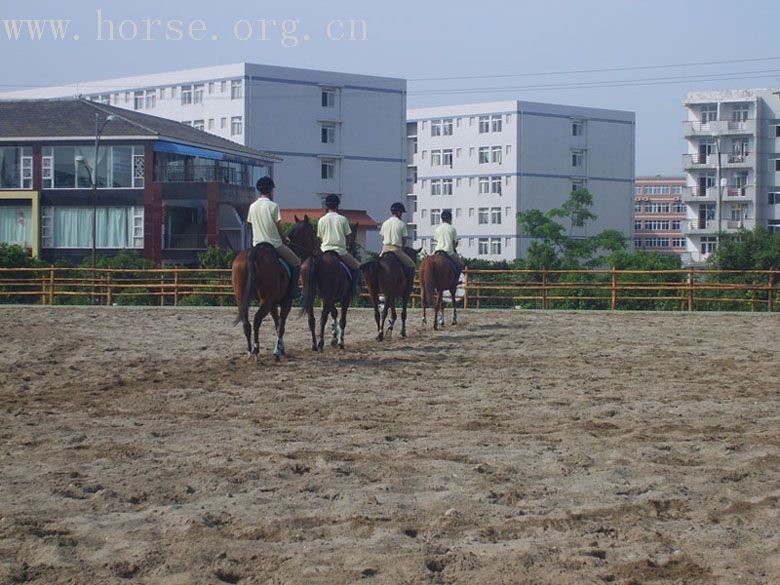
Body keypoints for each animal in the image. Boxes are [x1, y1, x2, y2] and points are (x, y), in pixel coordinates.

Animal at [232, 216, 316, 358]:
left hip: (242, 299)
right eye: (313, 233)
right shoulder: (286, 302)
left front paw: (280, 348)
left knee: (246, 323)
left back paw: (249, 350)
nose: (317, 250)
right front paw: (278, 351)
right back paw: (256, 349)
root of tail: (254, 253)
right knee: (256, 320)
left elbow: (277, 324)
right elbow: (281, 325)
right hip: (266, 300)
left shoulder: (273, 304)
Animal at [298, 224, 360, 352]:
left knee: (311, 319)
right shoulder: (345, 299)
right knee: (322, 318)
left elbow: (334, 313)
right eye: (354, 235)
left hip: (312, 296)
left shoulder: (329, 298)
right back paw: (321, 344)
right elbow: (342, 320)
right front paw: (340, 342)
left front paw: (334, 338)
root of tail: (316, 259)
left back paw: (314, 344)